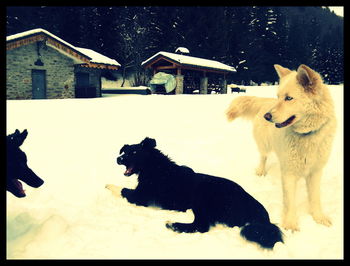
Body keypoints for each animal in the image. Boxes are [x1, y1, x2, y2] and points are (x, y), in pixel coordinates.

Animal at [113, 137, 284, 249]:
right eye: (125, 151)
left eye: (134, 152)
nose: (118, 159)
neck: (155, 168)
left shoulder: (140, 197)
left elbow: (122, 190)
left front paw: (110, 186)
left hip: (203, 200)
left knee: (201, 226)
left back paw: (173, 224)